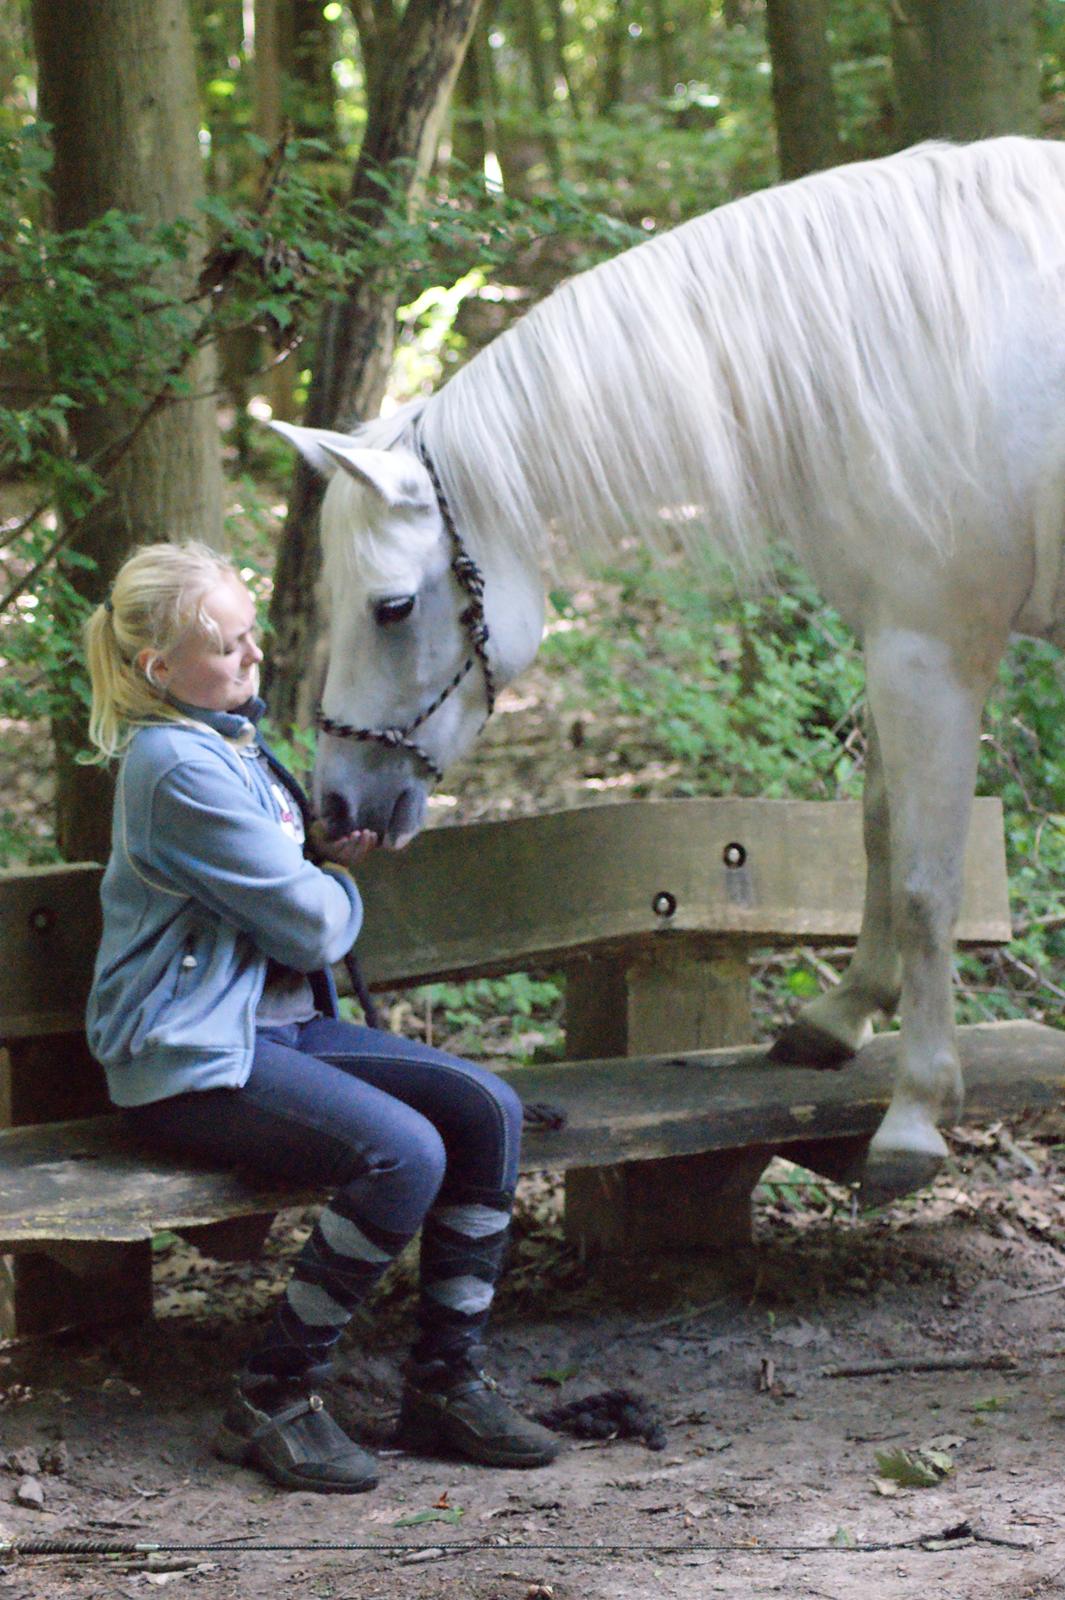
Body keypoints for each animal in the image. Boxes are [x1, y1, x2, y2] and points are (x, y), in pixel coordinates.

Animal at [271, 137, 1065, 1203]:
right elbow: (876, 832)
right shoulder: (893, 640)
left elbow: (926, 882)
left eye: (389, 607)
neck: (914, 351)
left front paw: (913, 1113)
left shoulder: (932, 647)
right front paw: (840, 1016)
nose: (336, 804)